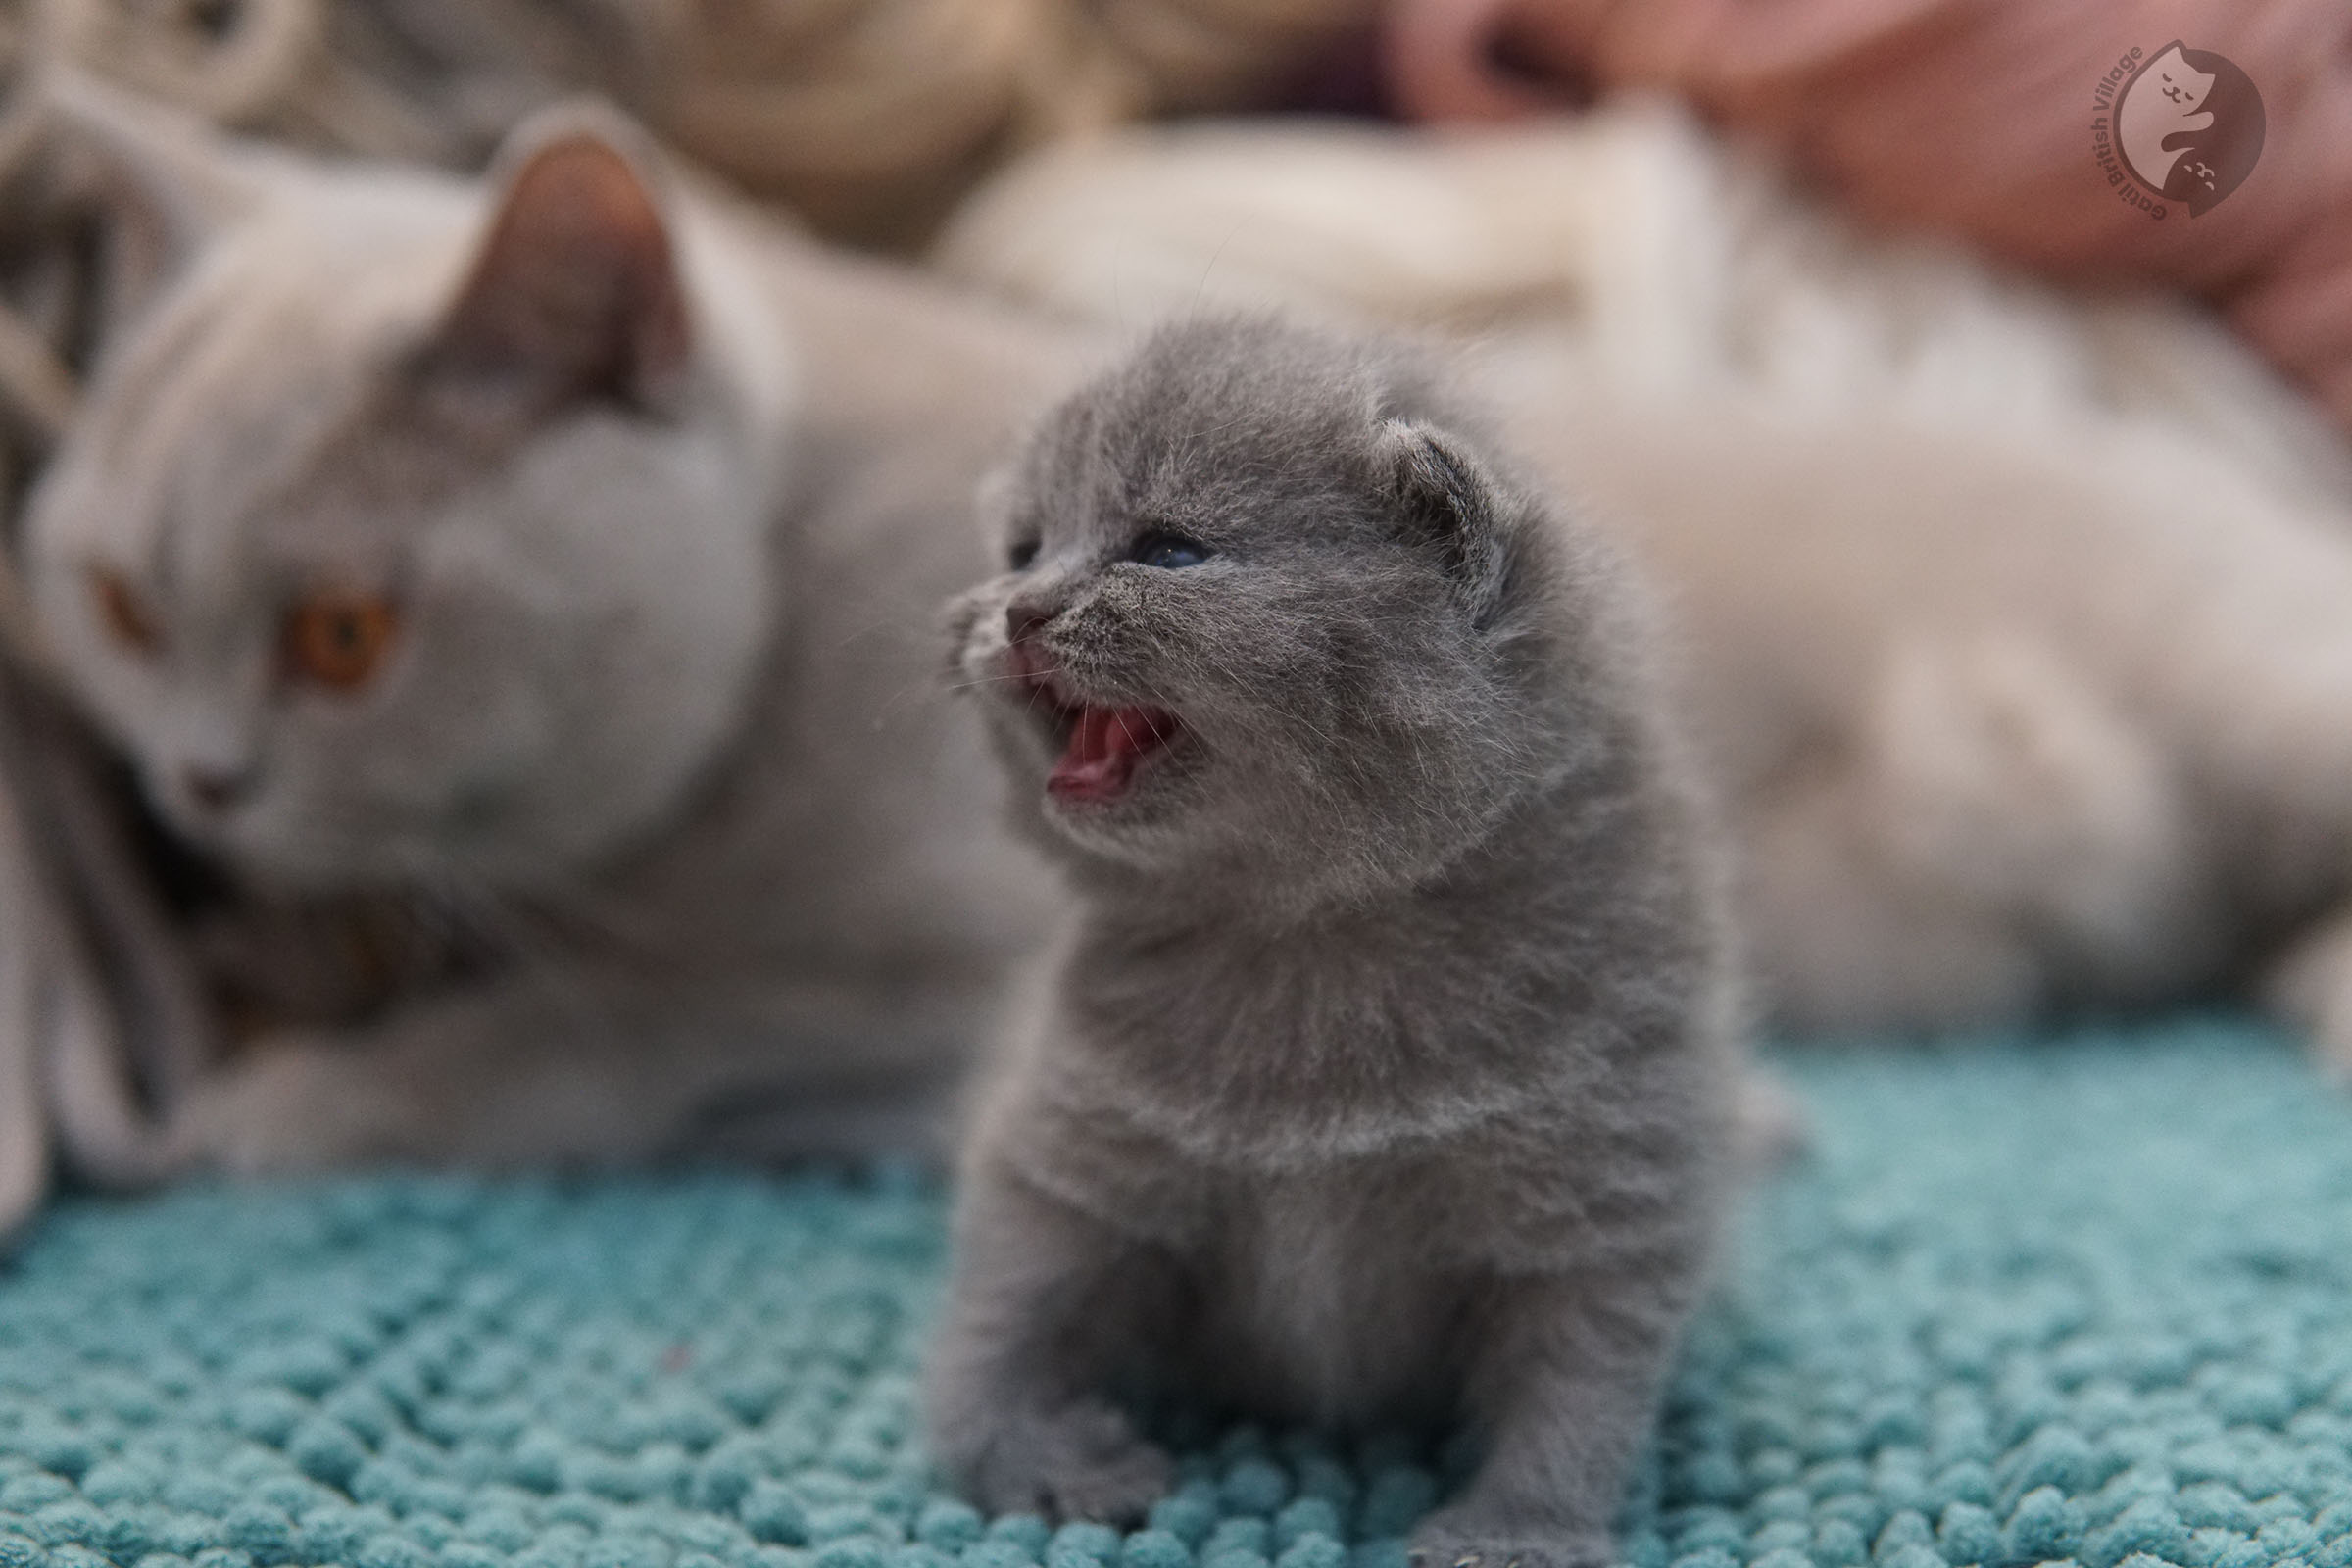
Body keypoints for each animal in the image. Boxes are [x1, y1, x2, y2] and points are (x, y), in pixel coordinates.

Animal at [14, 79, 1082, 1189]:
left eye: (343, 635)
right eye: (123, 610)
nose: (201, 780)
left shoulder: (970, 953)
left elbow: (624, 1010)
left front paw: (309, 1096)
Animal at [926, 319, 1740, 1568]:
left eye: (1167, 550)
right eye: (1023, 547)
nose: (1016, 613)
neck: (1305, 939)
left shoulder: (1603, 1173)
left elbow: (1581, 1375)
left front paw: (1516, 1530)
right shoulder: (1076, 1141)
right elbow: (1012, 1296)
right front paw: (1037, 1459)